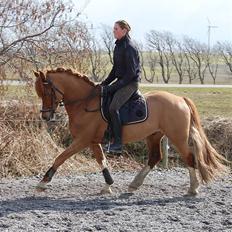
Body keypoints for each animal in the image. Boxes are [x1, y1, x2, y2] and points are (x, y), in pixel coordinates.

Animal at [33, 68, 229, 195]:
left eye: (46, 92)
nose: (45, 116)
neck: (85, 102)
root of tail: (180, 99)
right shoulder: (93, 141)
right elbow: (102, 161)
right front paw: (108, 185)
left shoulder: (82, 140)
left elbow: (60, 157)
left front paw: (43, 182)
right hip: (154, 135)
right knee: (154, 157)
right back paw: (134, 184)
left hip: (177, 136)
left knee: (189, 157)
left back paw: (193, 188)